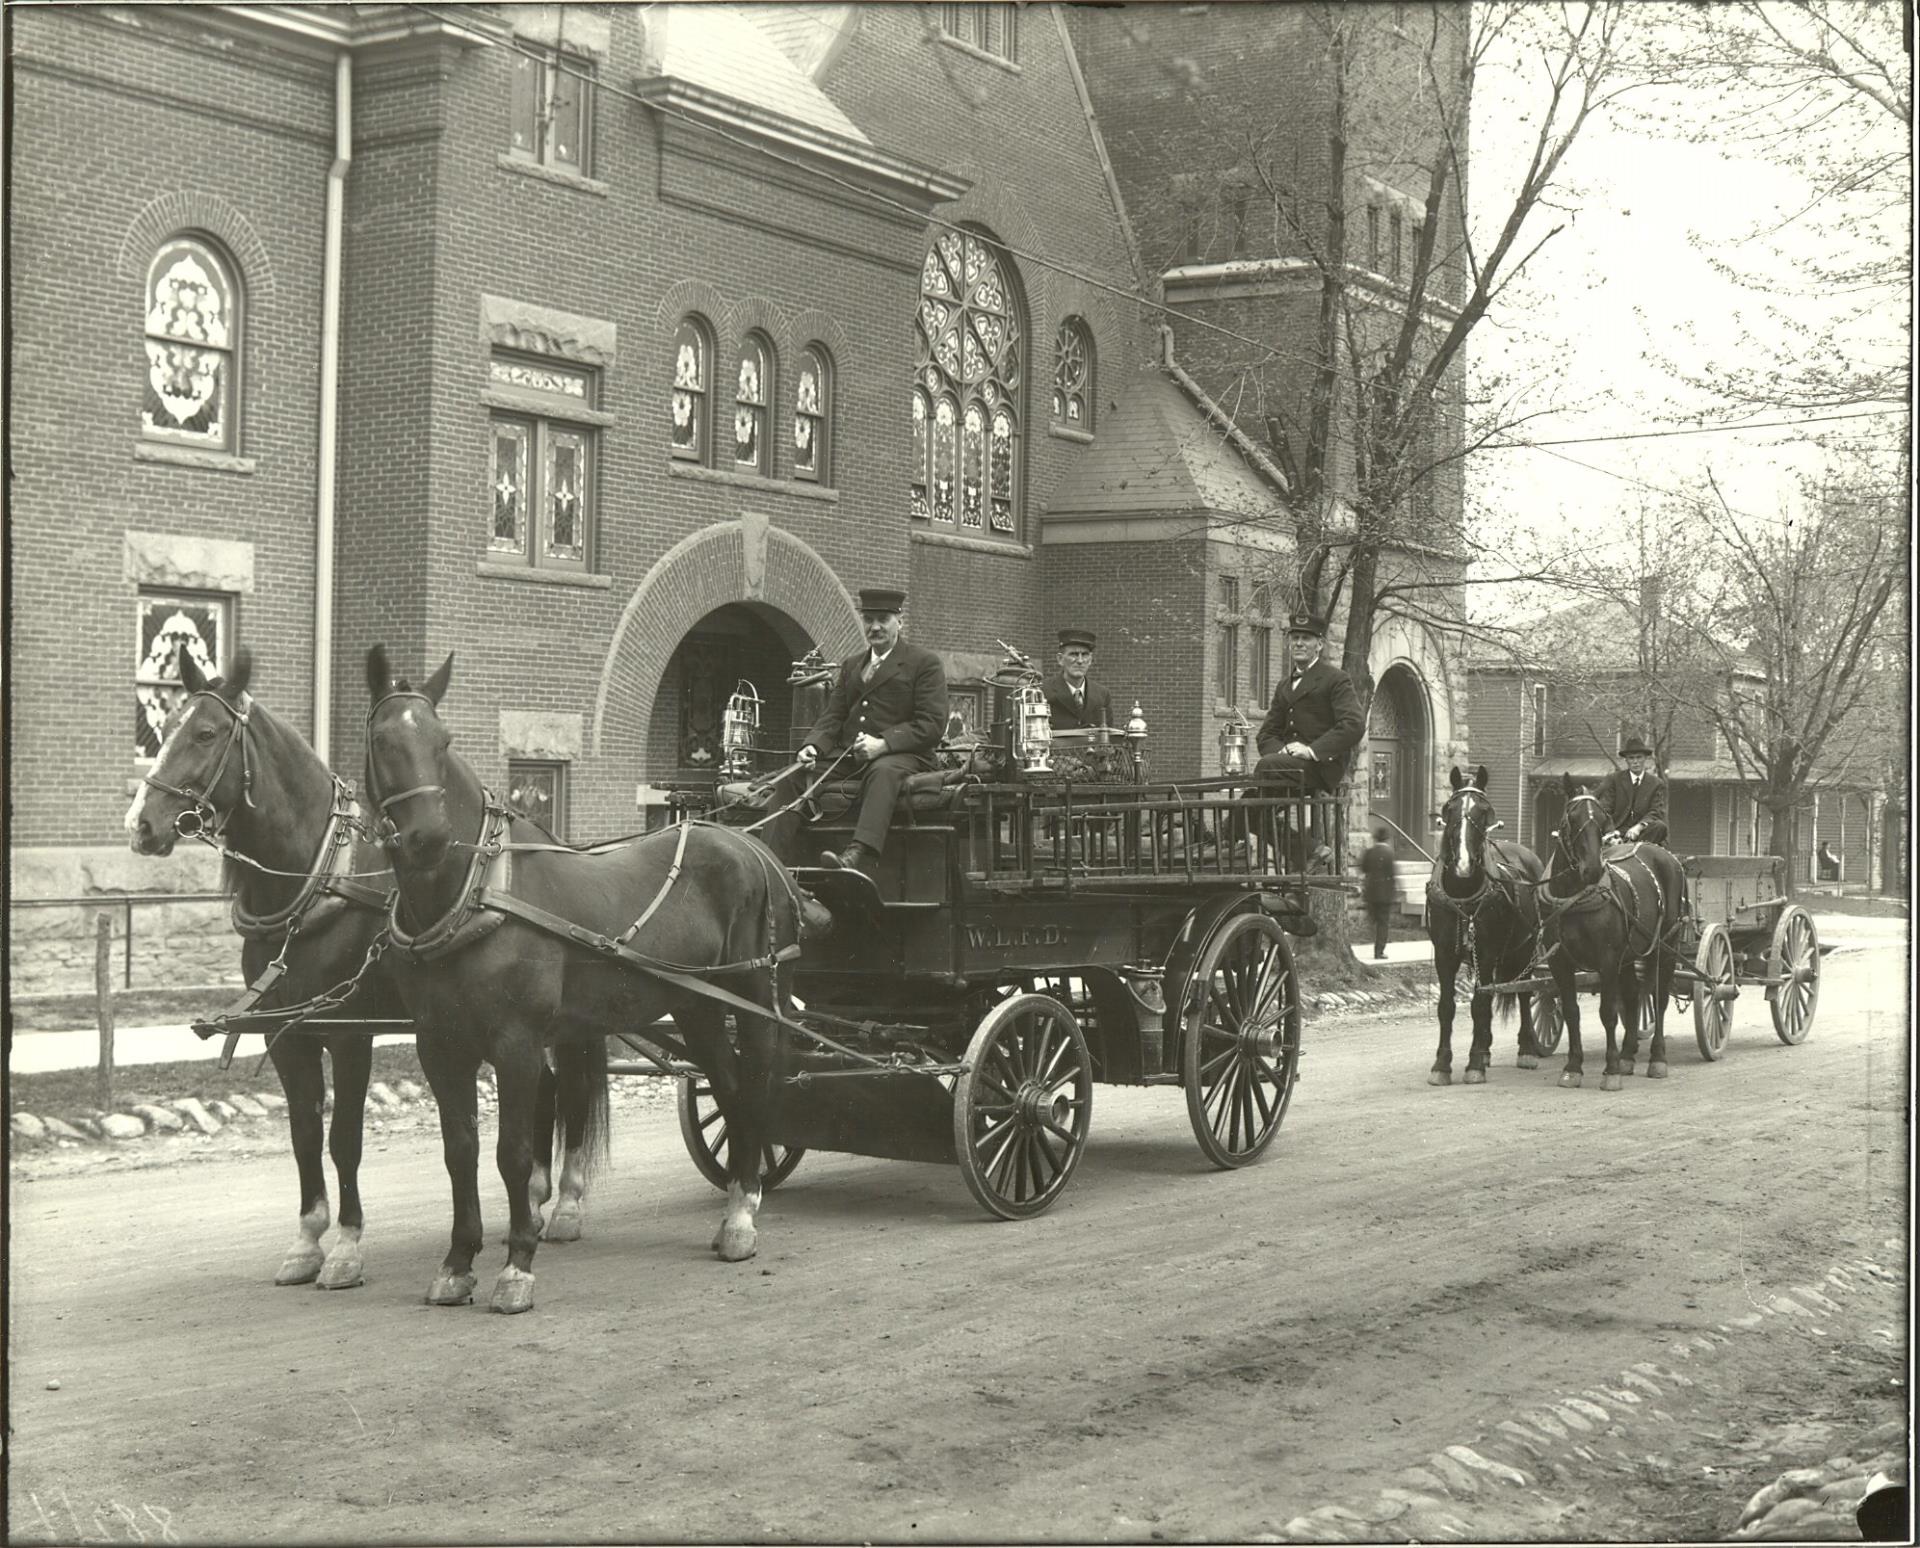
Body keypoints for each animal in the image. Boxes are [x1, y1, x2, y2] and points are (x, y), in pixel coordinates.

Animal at [362, 649, 806, 1313]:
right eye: (383, 740)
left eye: (443, 741)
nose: (431, 837)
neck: (474, 894)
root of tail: (750, 845)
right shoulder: (439, 1045)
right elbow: (460, 1150)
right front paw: (459, 1260)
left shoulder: (517, 1043)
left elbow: (514, 1153)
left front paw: (517, 1263)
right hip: (697, 1005)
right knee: (726, 1089)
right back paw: (738, 1203)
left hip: (750, 997)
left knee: (750, 1087)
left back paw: (741, 1219)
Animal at [1420, 768, 1551, 1083]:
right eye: (1449, 809)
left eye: (1484, 811)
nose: (1463, 864)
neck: (1463, 892)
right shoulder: (1445, 953)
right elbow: (1447, 1007)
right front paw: (1442, 1064)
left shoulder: (1488, 951)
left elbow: (1479, 1004)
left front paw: (1474, 1063)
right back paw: (1486, 1047)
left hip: (1525, 948)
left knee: (1525, 992)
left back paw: (1526, 1048)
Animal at [1536, 775, 1689, 1090]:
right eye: (1571, 818)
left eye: (1602, 820)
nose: (1592, 870)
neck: (1574, 897)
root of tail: (1667, 856)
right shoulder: (1559, 961)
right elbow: (1571, 1011)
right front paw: (1573, 1067)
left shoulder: (1606, 959)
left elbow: (1607, 1012)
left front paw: (1611, 1069)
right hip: (1629, 955)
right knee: (1632, 997)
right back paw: (1628, 1055)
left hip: (1665, 947)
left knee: (1659, 998)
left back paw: (1657, 1059)